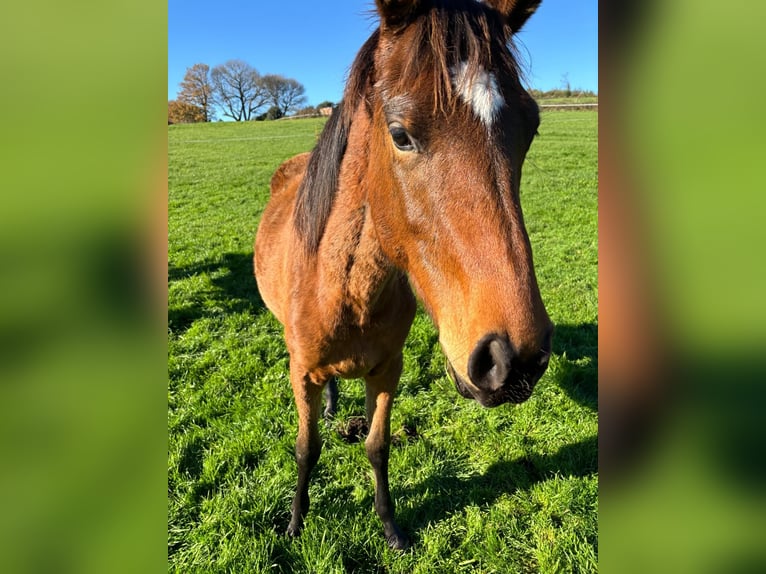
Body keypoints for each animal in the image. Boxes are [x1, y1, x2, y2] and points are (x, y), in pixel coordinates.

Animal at [256, 0, 552, 552]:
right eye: (400, 135)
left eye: (530, 128)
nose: (514, 359)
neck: (346, 292)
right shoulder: (300, 373)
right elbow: (306, 449)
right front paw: (295, 523)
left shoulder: (387, 371)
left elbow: (377, 447)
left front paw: (391, 527)